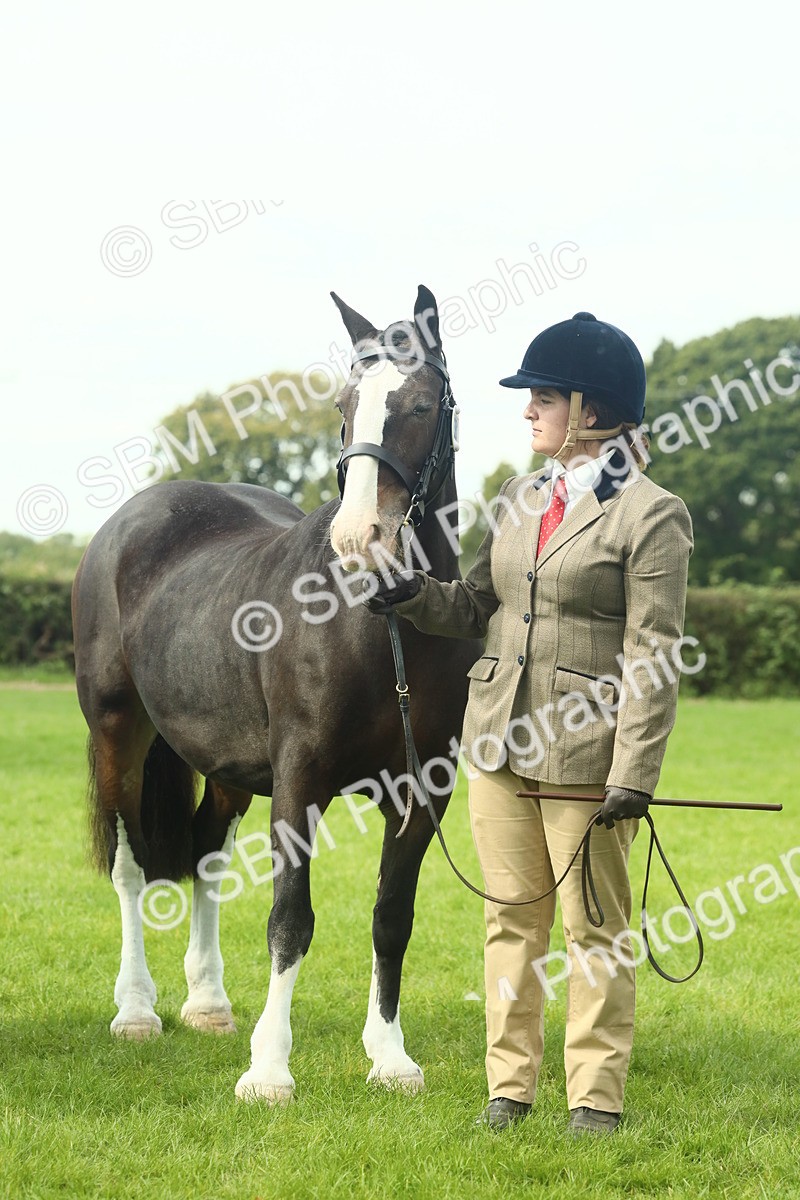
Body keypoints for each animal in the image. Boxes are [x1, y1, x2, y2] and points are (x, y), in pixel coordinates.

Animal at [72, 285, 481, 1102]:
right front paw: (268, 1070)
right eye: (345, 403)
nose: (361, 540)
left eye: (421, 404)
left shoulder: (423, 787)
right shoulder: (299, 779)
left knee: (203, 856)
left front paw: (389, 1057)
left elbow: (392, 916)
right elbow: (291, 917)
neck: (379, 621)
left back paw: (207, 1003)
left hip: (227, 766)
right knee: (132, 867)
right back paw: (136, 1011)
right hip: (116, 735)